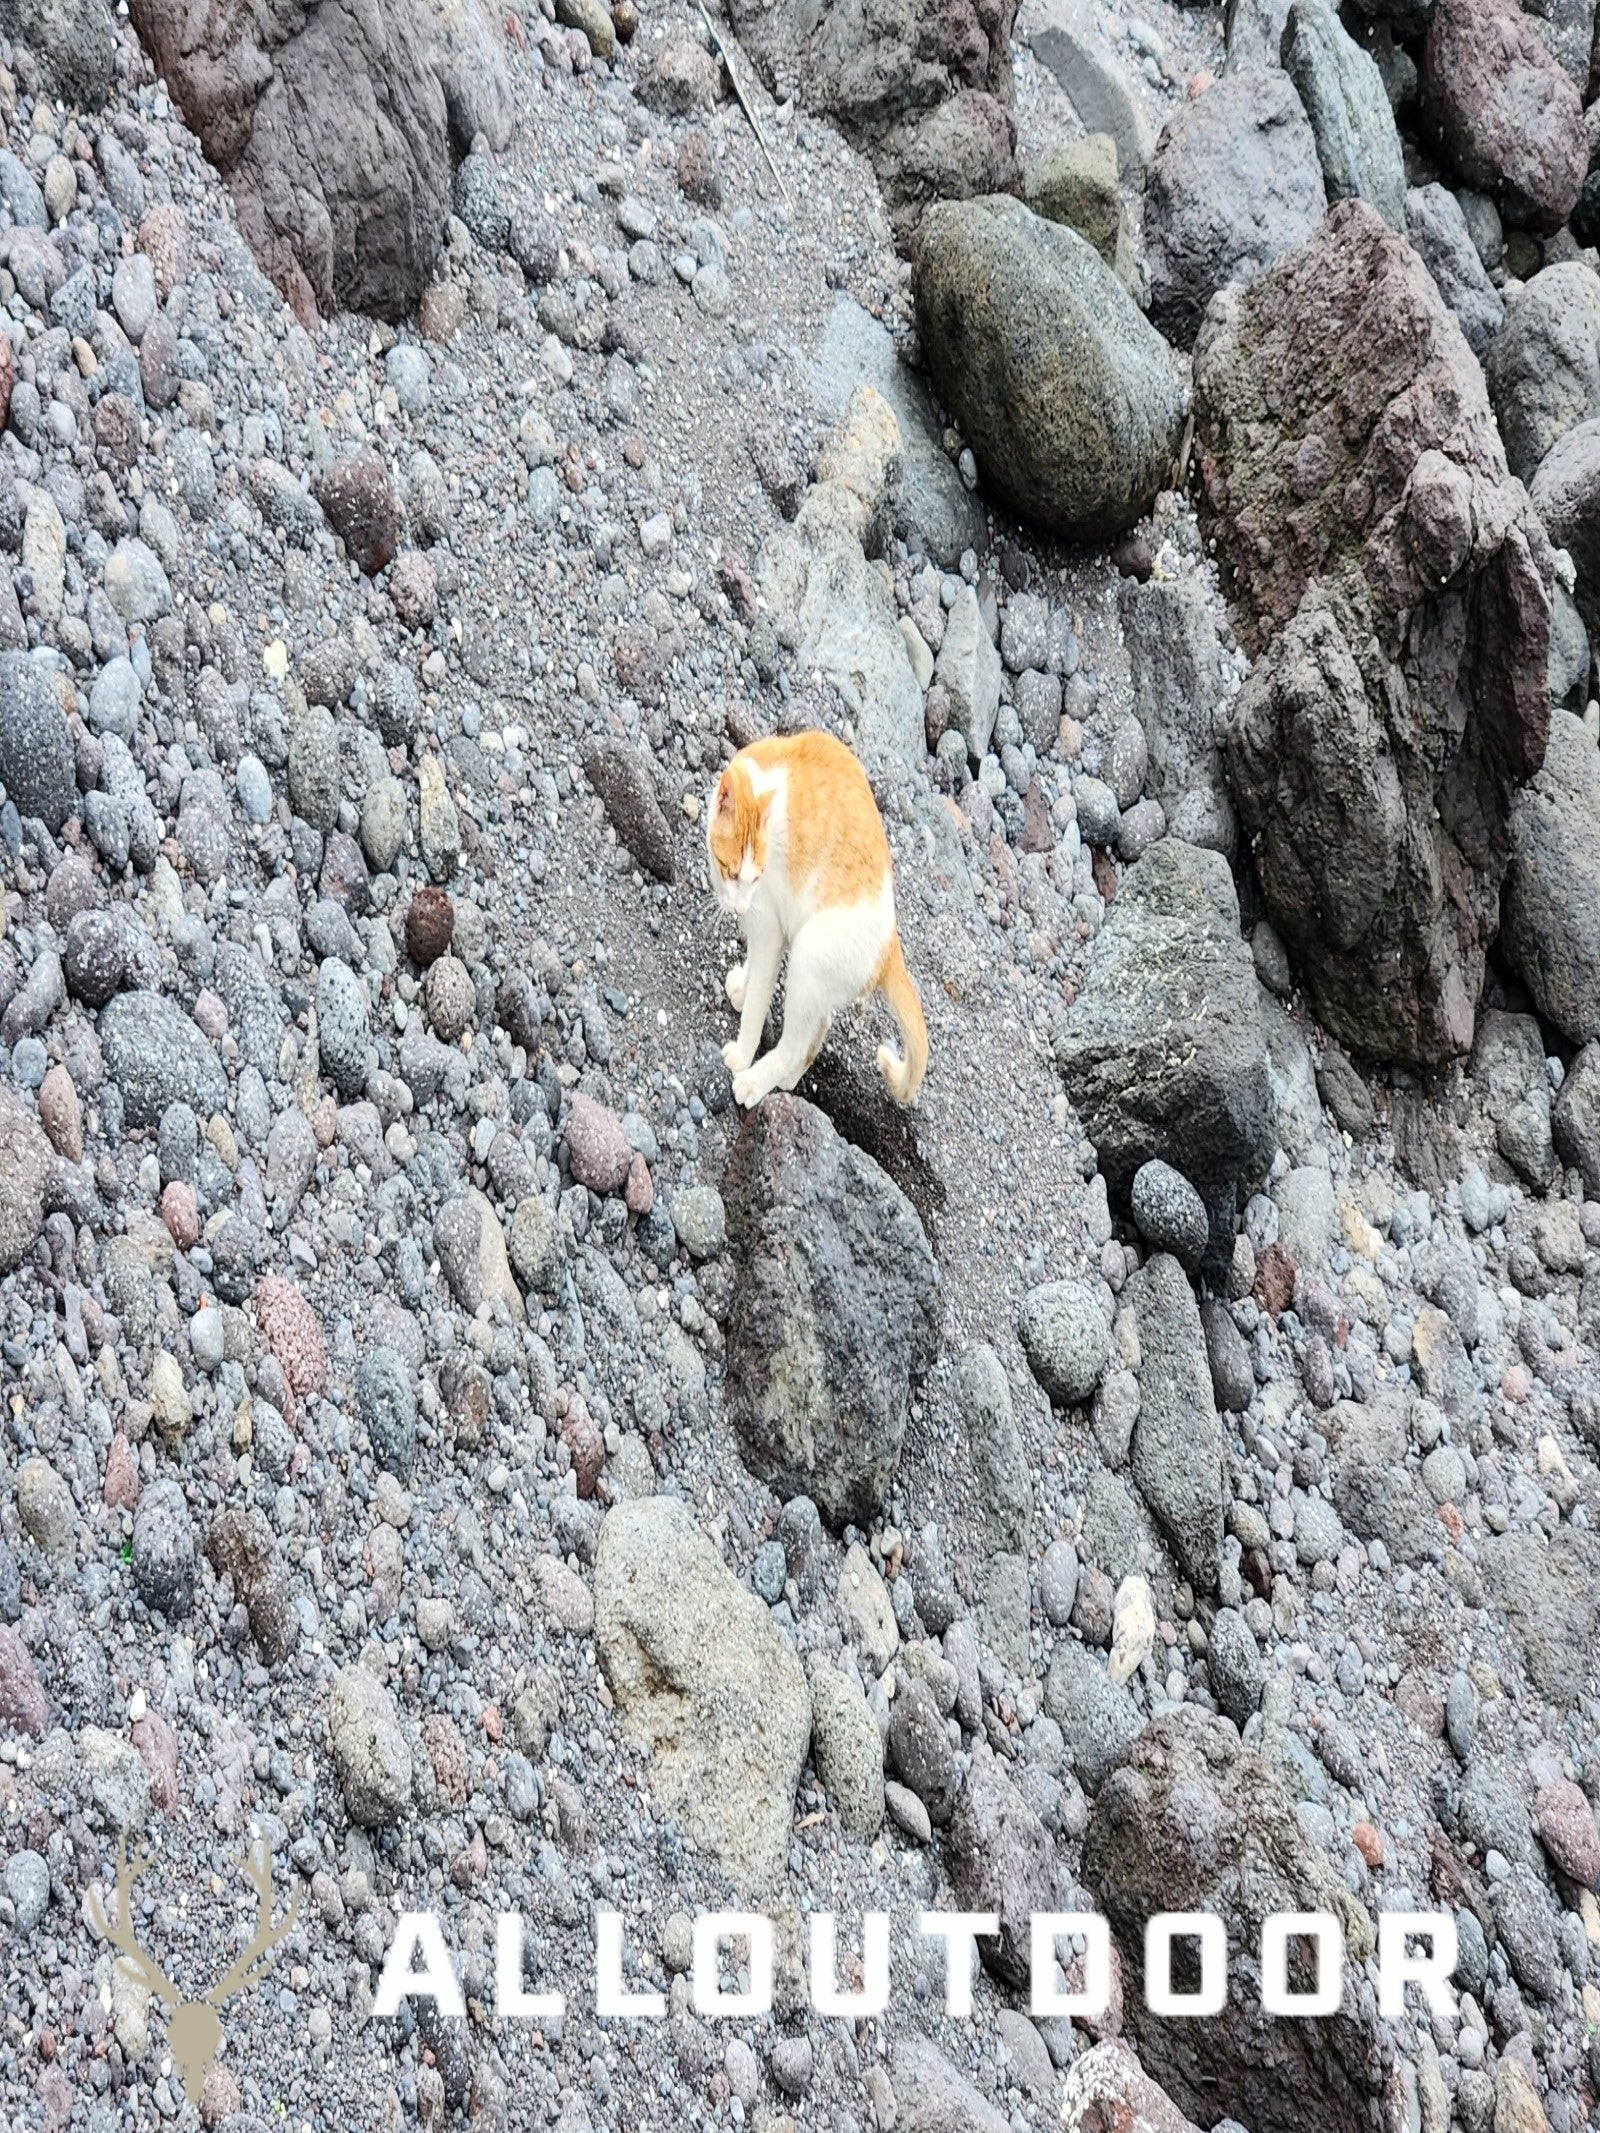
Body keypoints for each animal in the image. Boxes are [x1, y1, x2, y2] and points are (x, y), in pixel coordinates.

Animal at [712, 729, 934, 1109]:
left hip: (808, 958)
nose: (739, 907)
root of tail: (890, 945)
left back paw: (754, 1082)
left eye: (754, 877)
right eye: (731, 871)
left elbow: (758, 1000)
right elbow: (753, 968)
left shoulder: (770, 928)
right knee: (817, 1030)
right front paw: (741, 986)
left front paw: (742, 1053)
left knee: (794, 1044)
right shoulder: (762, 929)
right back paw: (786, 1080)